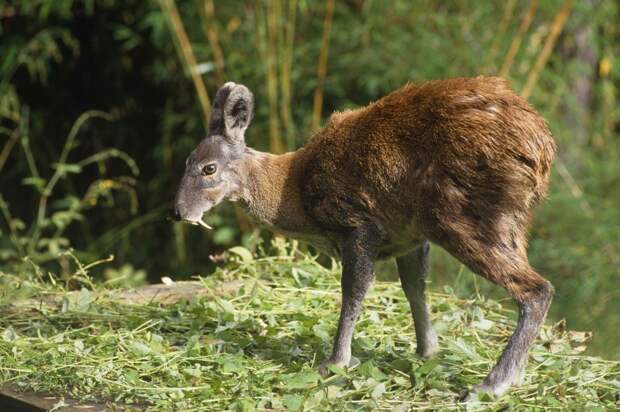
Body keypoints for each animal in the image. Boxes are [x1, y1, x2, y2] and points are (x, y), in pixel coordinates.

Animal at [173, 76, 556, 396]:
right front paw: (427, 351)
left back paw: (491, 385)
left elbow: (354, 289)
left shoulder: (357, 220)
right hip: (503, 225)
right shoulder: (410, 235)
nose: (177, 212)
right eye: (186, 161)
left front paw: (335, 362)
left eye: (209, 168)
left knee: (537, 289)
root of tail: (541, 150)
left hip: (464, 217)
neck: (293, 195)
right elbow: (414, 286)